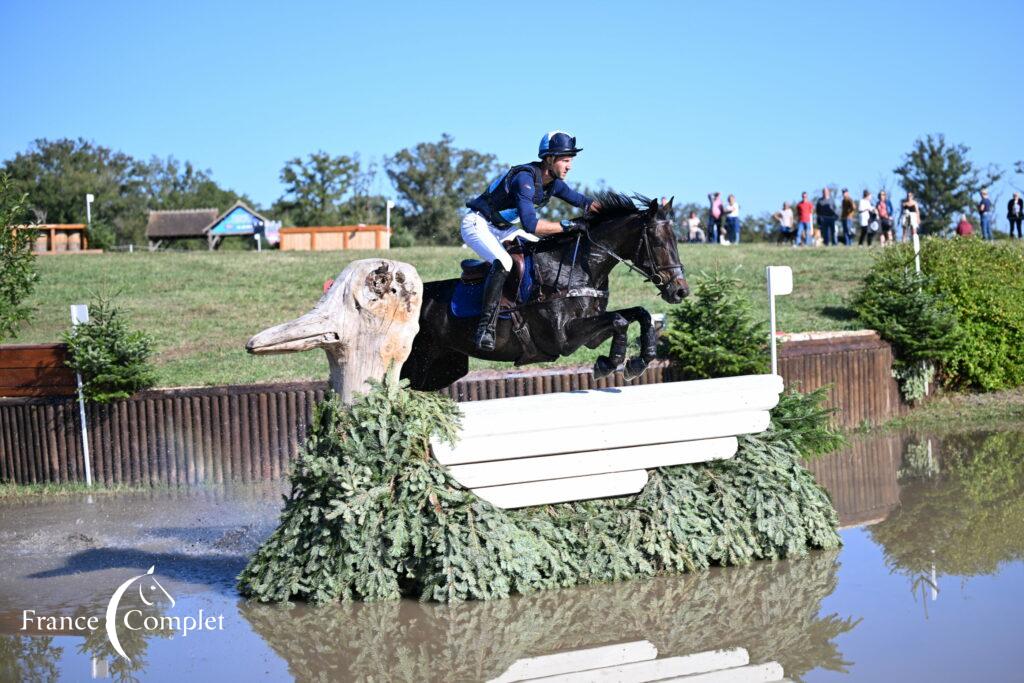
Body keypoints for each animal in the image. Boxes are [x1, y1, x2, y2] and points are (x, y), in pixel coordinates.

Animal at [399, 194, 688, 393]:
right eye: (658, 242)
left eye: (676, 240)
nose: (680, 290)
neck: (577, 266)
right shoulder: (563, 339)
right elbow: (620, 320)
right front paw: (611, 362)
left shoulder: (590, 335)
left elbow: (638, 314)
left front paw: (638, 361)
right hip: (416, 361)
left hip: (443, 367)